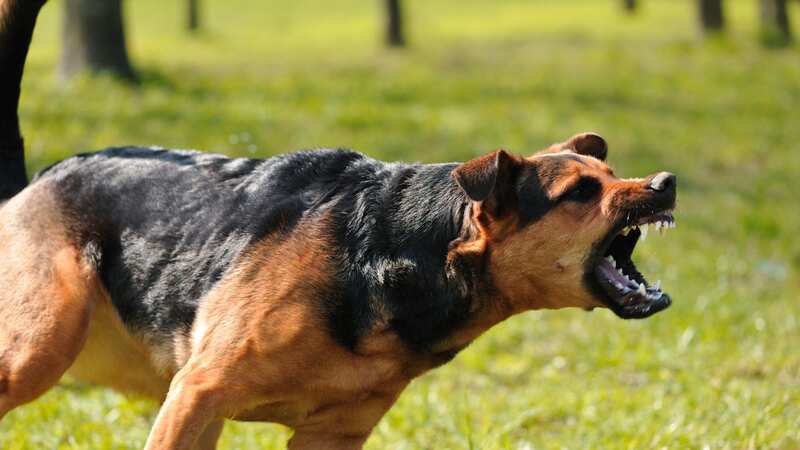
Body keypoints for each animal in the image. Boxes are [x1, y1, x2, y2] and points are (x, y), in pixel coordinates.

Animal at [0, 1, 676, 448]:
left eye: (611, 171)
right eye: (581, 192)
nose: (666, 183)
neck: (403, 255)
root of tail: (33, 182)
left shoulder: (331, 433)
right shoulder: (196, 395)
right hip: (40, 348)